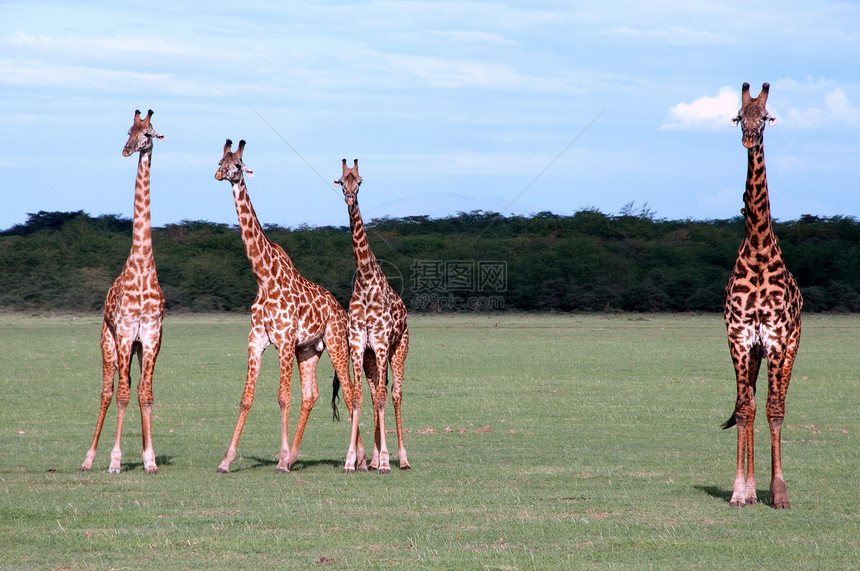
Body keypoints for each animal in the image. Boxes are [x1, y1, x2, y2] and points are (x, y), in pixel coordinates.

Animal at [215, 139, 362, 474]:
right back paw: (300, 456)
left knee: (349, 393)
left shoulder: (283, 339)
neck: (264, 275)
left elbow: (283, 397)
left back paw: (360, 459)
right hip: (308, 350)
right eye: (220, 160)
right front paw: (226, 461)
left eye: (238, 165)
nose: (220, 174)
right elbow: (246, 398)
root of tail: (340, 310)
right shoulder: (257, 339)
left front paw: (281, 461)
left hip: (336, 342)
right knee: (312, 394)